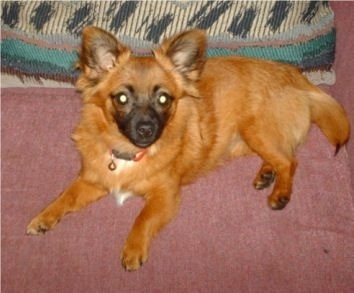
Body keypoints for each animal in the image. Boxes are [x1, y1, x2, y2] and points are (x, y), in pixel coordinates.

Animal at [26, 26, 350, 270]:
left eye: (163, 99)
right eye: (121, 99)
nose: (146, 129)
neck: (129, 152)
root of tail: (297, 76)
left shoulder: (166, 196)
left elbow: (142, 218)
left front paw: (133, 250)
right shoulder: (94, 179)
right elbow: (66, 196)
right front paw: (44, 217)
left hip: (255, 129)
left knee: (290, 161)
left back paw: (280, 192)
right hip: (246, 139)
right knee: (282, 155)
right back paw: (266, 175)